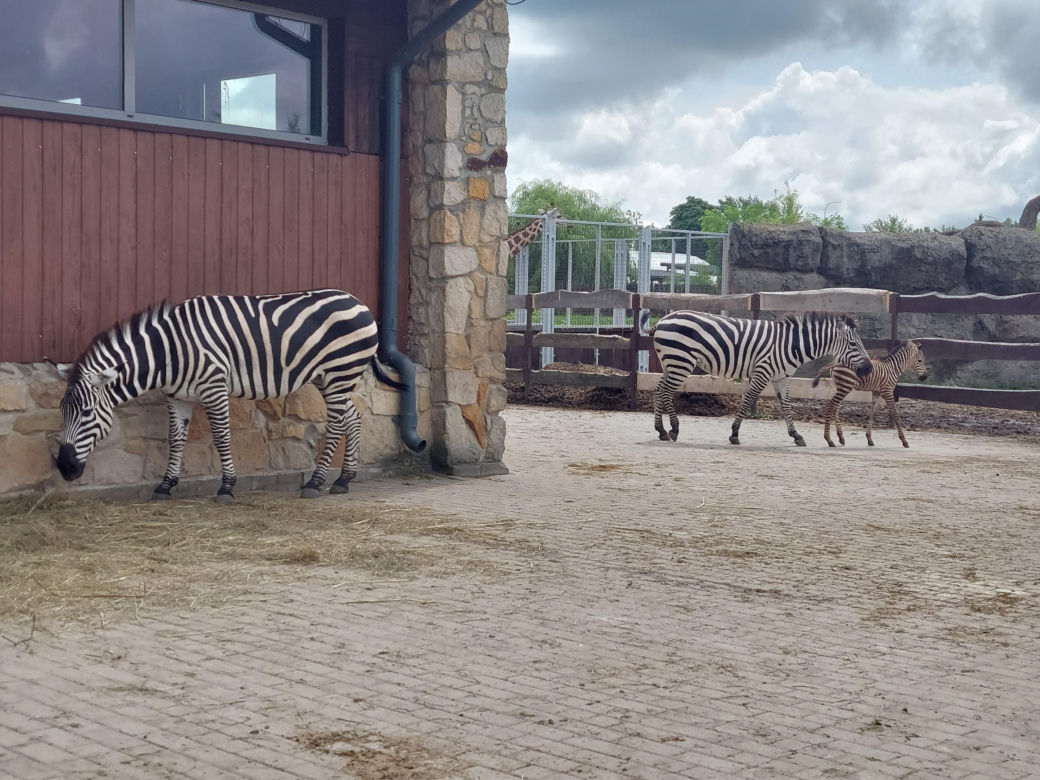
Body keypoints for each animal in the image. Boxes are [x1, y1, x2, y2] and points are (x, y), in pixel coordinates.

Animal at [52, 289, 407, 503]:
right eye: (62, 413)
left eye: (86, 413)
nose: (65, 468)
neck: (170, 352)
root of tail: (358, 301)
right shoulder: (177, 396)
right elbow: (176, 440)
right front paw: (165, 485)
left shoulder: (214, 387)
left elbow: (222, 437)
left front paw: (226, 486)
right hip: (330, 378)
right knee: (353, 418)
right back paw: (344, 480)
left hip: (339, 374)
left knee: (335, 426)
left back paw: (316, 482)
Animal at [649, 310, 872, 446]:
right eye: (854, 344)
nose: (869, 368)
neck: (791, 345)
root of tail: (662, 320)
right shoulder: (762, 372)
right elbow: (748, 400)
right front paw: (734, 433)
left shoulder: (781, 377)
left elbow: (786, 406)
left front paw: (796, 435)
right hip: (681, 360)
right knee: (666, 392)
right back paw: (674, 429)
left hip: (671, 362)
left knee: (658, 390)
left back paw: (661, 431)